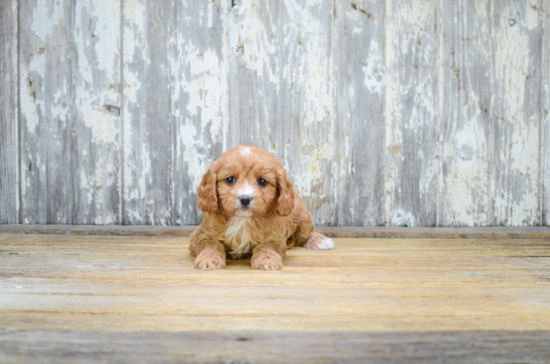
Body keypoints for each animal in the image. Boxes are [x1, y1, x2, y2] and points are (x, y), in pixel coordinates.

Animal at [190, 145, 336, 270]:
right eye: (230, 179)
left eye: (262, 181)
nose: (245, 199)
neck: (242, 219)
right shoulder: (201, 234)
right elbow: (212, 244)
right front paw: (209, 259)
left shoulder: (275, 237)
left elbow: (266, 246)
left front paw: (267, 261)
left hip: (303, 217)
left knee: (308, 233)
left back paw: (321, 241)